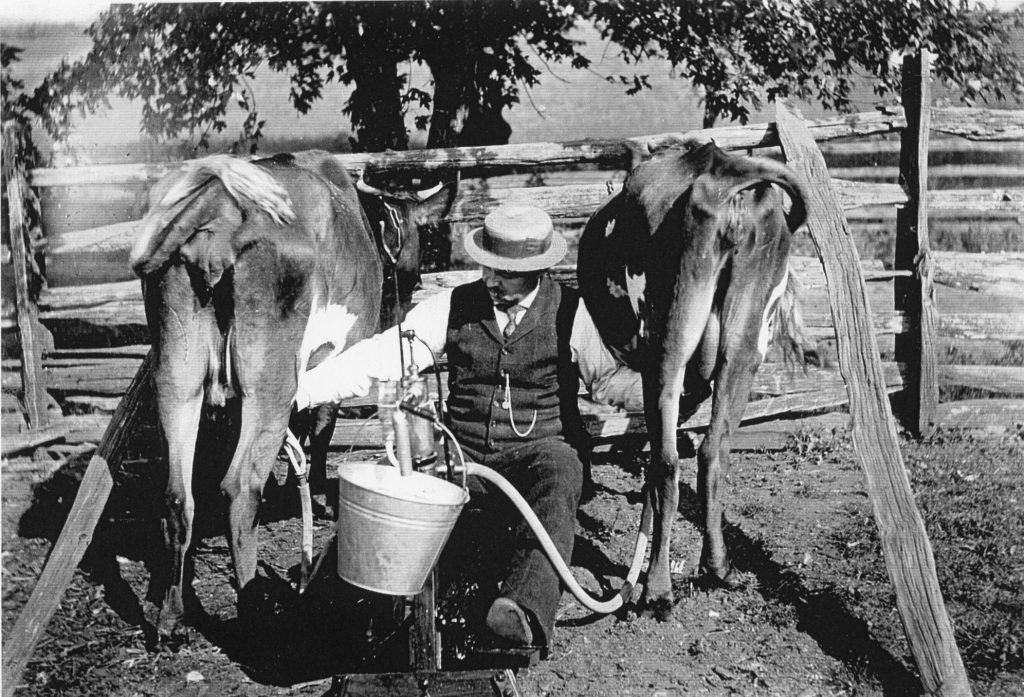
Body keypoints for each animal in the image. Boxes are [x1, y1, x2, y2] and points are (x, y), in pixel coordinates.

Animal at [129, 154, 383, 640]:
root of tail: (217, 205)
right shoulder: (330, 363)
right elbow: (319, 433)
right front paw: (317, 498)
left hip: (176, 374)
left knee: (177, 495)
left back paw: (171, 616)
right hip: (271, 385)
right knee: (240, 488)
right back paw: (253, 615)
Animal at [577, 142, 810, 620]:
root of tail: (724, 170)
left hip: (667, 341)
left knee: (667, 462)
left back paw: (657, 588)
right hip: (744, 346)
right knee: (714, 451)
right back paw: (717, 567)